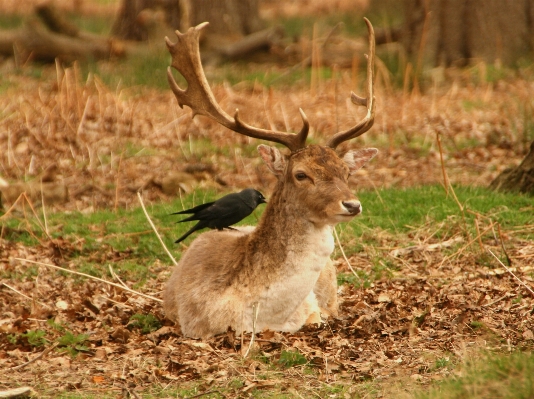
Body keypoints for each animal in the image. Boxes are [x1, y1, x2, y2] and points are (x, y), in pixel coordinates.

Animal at [165, 18, 378, 338]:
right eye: (301, 174)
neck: (264, 316)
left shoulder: (313, 309)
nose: (352, 204)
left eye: (346, 171)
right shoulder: (193, 325)